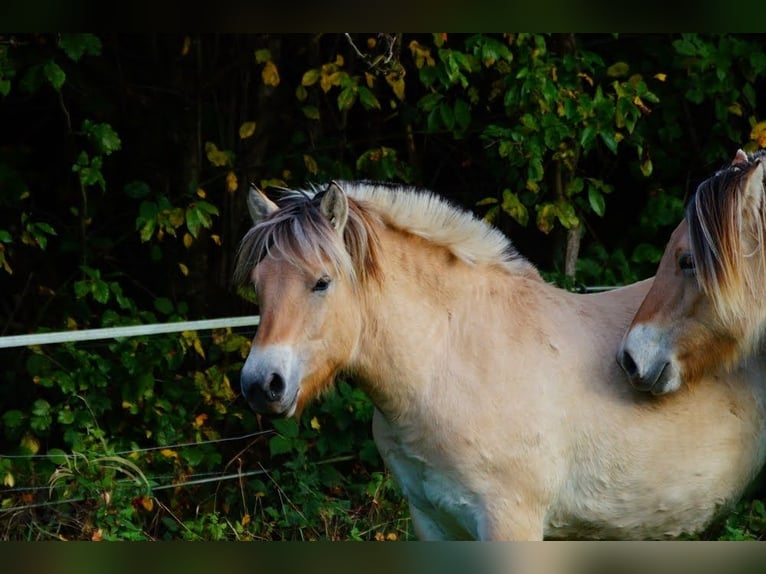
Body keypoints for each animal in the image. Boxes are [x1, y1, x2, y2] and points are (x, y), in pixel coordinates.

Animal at [235, 180, 766, 540]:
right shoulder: (434, 525)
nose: (262, 384)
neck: (452, 359)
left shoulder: (510, 524)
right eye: (257, 285)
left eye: (321, 282)